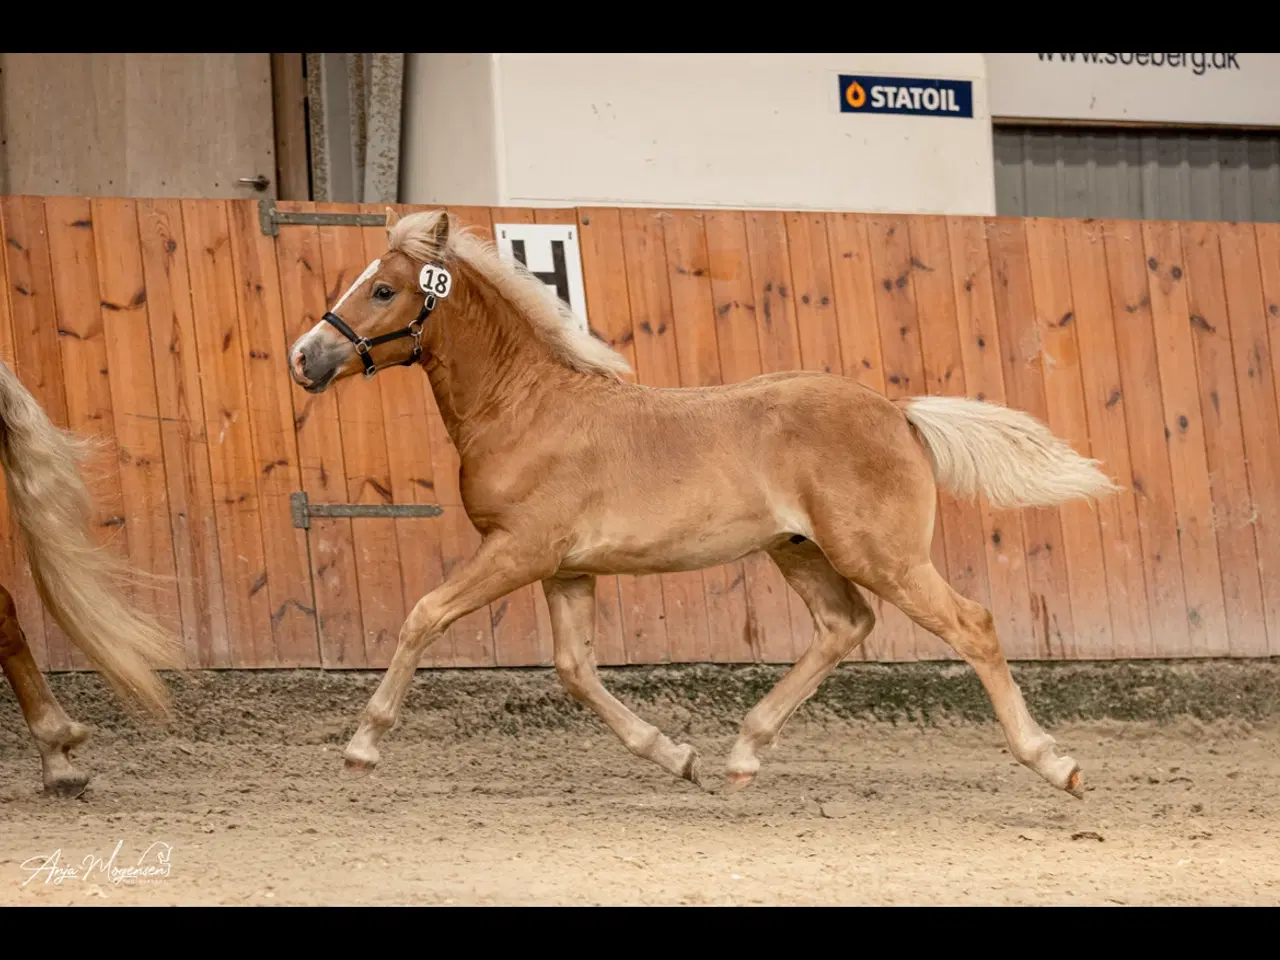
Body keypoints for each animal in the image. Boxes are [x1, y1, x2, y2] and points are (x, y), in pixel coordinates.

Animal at [290, 212, 1121, 803]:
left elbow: (424, 614)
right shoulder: (565, 569)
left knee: (971, 624)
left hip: (880, 553)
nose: (306, 356)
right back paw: (743, 754)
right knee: (844, 625)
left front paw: (362, 746)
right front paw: (676, 755)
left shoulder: (519, 550)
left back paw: (1058, 765)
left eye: (385, 290)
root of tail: (897, 411)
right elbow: (575, 671)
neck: (525, 408)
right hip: (799, 549)